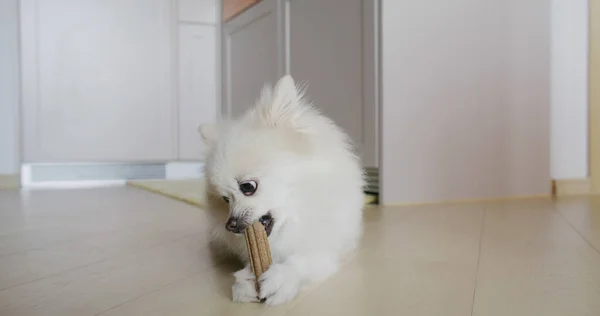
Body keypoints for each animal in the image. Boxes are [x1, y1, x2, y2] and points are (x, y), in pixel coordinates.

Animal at [199, 74, 364, 306]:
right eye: (225, 199)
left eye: (247, 187)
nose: (229, 225)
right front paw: (246, 280)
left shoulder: (327, 251)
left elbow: (303, 260)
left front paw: (282, 278)